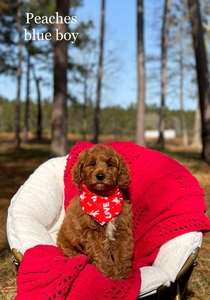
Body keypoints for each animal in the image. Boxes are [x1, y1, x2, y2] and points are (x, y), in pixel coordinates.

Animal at [56, 145, 134, 282]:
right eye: (92, 164)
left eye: (110, 164)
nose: (100, 176)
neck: (103, 198)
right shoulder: (90, 233)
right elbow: (100, 253)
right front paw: (111, 273)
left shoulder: (123, 228)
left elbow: (123, 250)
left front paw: (122, 273)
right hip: (65, 242)